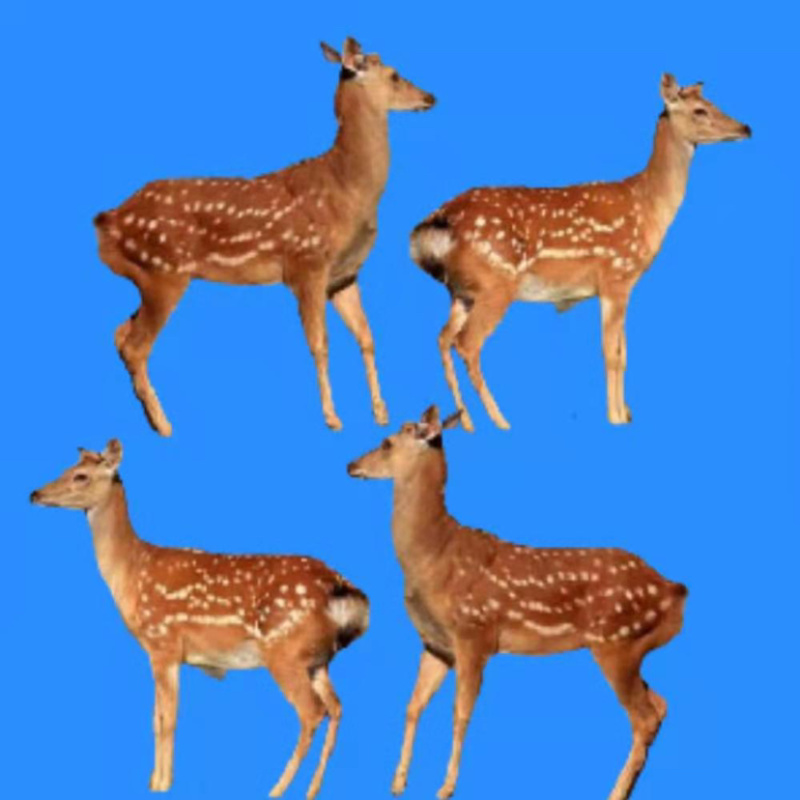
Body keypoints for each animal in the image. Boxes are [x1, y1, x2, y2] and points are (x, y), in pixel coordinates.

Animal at [30, 440, 369, 798]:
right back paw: (311, 790)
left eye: (80, 475)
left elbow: (166, 719)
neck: (132, 570)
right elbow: (155, 718)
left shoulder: (163, 643)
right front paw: (153, 781)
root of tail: (342, 588)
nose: (35, 493)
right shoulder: (164, 653)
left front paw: (162, 785)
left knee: (311, 712)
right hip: (318, 660)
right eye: (66, 468)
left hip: (284, 652)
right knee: (337, 708)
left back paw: (276, 789)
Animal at [94, 37, 435, 436]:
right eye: (395, 75)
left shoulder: (344, 275)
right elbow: (320, 344)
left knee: (120, 333)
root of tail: (107, 220)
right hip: (165, 271)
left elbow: (367, 338)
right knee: (136, 345)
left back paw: (152, 418)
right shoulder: (306, 264)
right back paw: (165, 425)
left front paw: (381, 414)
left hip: (149, 275)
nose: (430, 96)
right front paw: (333, 418)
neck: (348, 189)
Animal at [347, 406, 688, 800]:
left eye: (387, 443)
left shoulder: (474, 633)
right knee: (660, 704)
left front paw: (445, 788)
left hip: (615, 641)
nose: (351, 464)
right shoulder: (436, 644)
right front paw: (398, 781)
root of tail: (675, 591)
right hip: (631, 645)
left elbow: (460, 713)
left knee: (643, 717)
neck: (433, 556)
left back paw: (613, 792)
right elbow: (412, 706)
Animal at [410, 74, 751, 429]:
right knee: (467, 343)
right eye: (700, 110)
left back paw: (466, 423)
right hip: (496, 283)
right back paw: (502, 422)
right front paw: (615, 418)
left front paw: (625, 415)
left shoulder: (621, 285)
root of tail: (435, 223)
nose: (745, 128)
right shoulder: (616, 275)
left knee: (442, 338)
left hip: (461, 291)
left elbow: (624, 354)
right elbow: (612, 354)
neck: (648, 206)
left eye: (712, 102)